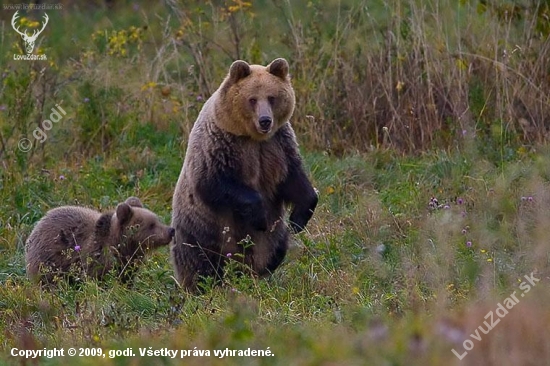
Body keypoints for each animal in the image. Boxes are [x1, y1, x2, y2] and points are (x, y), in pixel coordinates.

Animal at [25, 197, 176, 284]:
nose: (171, 230)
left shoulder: (128, 263)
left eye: (157, 219)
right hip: (48, 259)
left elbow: (126, 277)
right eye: (151, 224)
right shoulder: (96, 256)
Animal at [172, 58, 320, 292]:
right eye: (252, 99)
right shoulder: (219, 147)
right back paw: (203, 285)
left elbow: (295, 181)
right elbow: (216, 184)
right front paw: (259, 217)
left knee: (277, 248)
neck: (252, 138)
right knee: (200, 260)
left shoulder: (278, 147)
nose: (265, 120)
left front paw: (298, 220)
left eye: (272, 97)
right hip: (201, 228)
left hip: (272, 238)